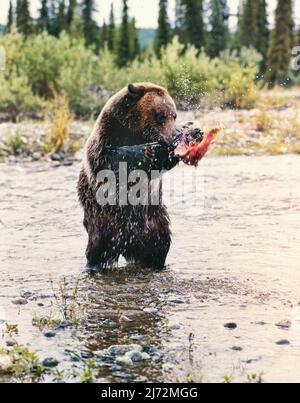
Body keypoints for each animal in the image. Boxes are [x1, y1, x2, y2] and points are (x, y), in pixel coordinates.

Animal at [78, 82, 180, 274]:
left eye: (174, 115)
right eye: (160, 116)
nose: (173, 138)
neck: (135, 130)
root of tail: (126, 242)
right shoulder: (107, 133)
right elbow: (107, 159)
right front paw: (149, 151)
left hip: (154, 220)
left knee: (159, 245)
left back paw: (157, 264)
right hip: (103, 222)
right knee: (97, 249)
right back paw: (92, 267)